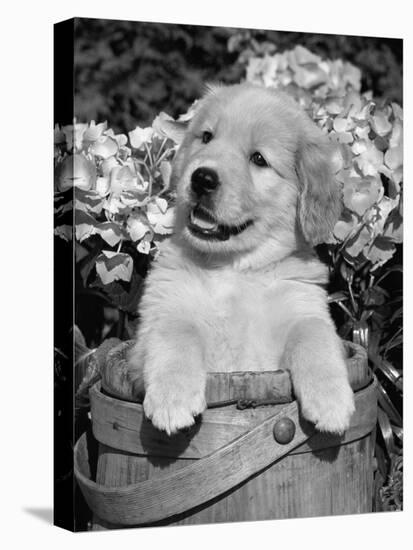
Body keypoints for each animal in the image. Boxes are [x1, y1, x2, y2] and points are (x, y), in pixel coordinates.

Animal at [128, 83, 354, 436]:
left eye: (258, 159)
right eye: (206, 137)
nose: (202, 178)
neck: (232, 268)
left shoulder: (303, 307)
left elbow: (315, 336)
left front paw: (331, 402)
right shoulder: (156, 320)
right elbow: (175, 333)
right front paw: (172, 399)